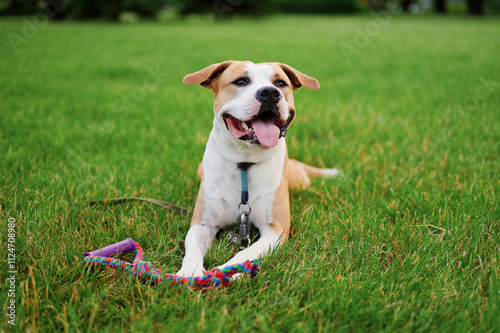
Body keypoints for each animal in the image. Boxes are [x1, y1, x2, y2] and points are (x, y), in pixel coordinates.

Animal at [178, 61, 338, 276]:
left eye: (281, 83)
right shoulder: (202, 224)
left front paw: (230, 271)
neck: (245, 163)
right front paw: (189, 273)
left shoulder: (275, 230)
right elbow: (192, 249)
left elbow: (246, 252)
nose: (270, 93)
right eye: (240, 81)